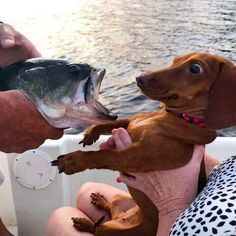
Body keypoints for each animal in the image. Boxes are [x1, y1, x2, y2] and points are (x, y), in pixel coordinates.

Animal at [52, 52, 236, 236]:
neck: (172, 116)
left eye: (195, 68)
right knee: (111, 209)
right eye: (175, 60)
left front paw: (74, 161)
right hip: (119, 200)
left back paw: (85, 223)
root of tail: (124, 216)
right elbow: (112, 123)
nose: (139, 78)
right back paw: (101, 201)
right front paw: (91, 132)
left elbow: (103, 155)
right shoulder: (131, 122)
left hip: (109, 229)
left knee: (98, 229)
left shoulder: (135, 157)